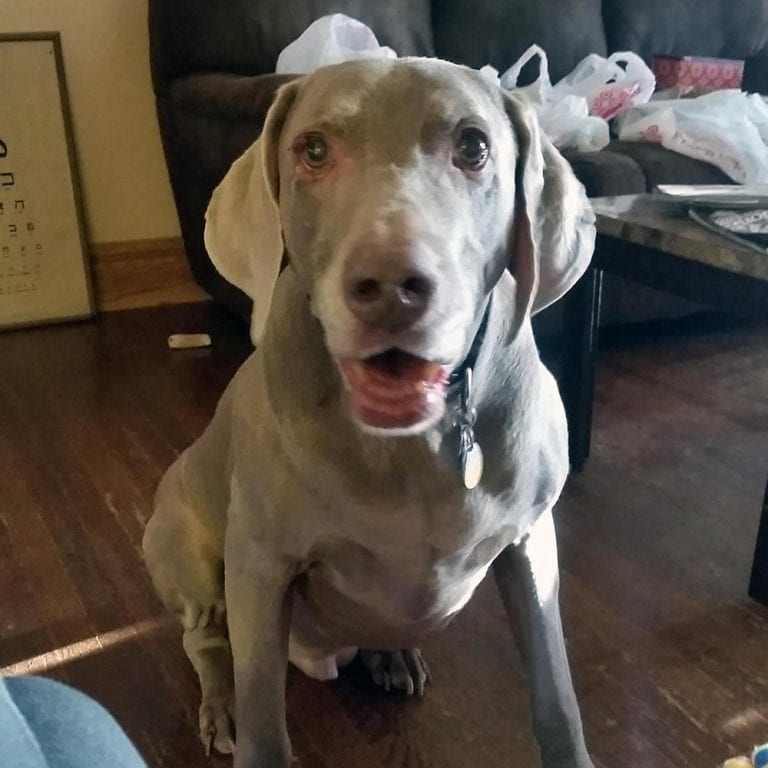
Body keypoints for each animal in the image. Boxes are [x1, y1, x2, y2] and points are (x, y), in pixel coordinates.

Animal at [146, 57, 600, 764]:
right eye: (312, 150)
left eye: (474, 146)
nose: (390, 286)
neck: (415, 444)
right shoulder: (260, 563)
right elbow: (264, 721)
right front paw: (246, 720)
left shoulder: (532, 545)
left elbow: (556, 692)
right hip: (181, 545)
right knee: (207, 640)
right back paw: (221, 706)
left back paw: (391, 656)